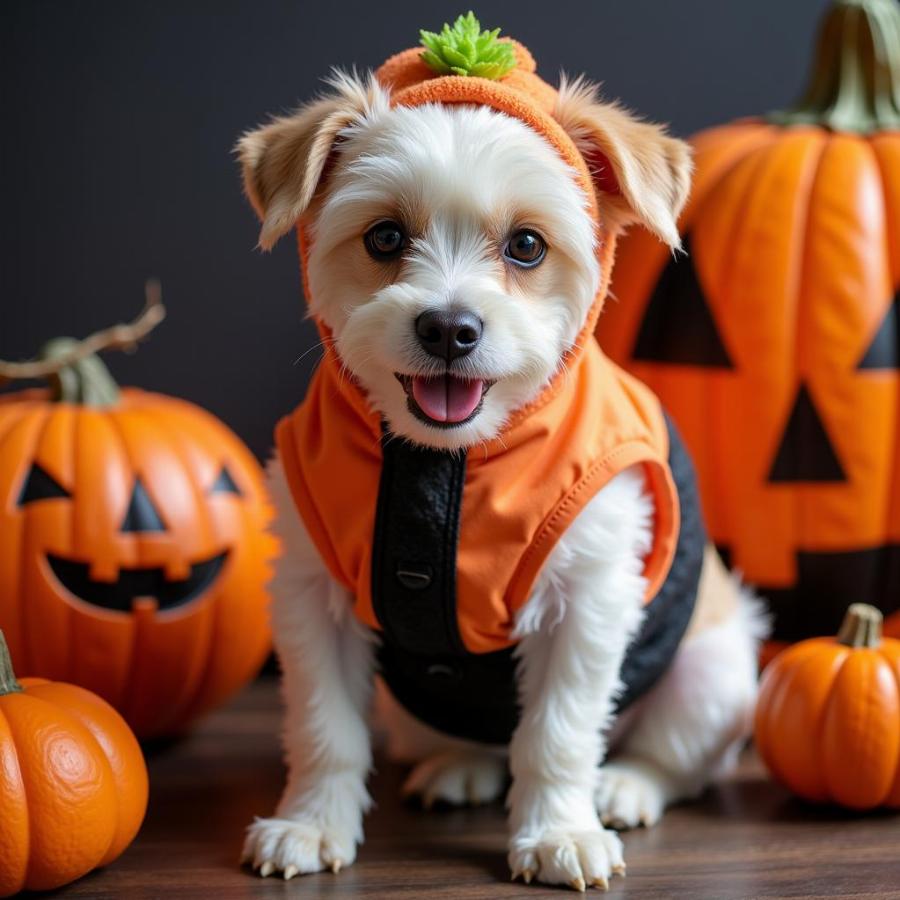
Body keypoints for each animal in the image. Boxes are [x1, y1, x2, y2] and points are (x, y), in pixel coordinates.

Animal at [236, 31, 764, 888]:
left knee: (675, 757)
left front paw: (560, 832)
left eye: (526, 246)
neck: (445, 460)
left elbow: (558, 733)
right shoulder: (312, 592)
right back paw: (461, 765)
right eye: (385, 237)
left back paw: (624, 785)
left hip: (714, 671)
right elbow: (324, 726)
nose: (449, 327)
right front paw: (310, 822)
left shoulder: (587, 600)